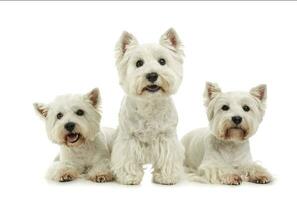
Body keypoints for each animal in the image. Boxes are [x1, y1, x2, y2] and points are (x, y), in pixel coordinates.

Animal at [111, 27, 184, 184]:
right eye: (139, 63)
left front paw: (166, 176)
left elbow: (168, 157)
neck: (150, 104)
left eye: (162, 61)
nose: (152, 75)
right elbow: (127, 158)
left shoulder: (167, 136)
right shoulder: (128, 138)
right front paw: (130, 176)